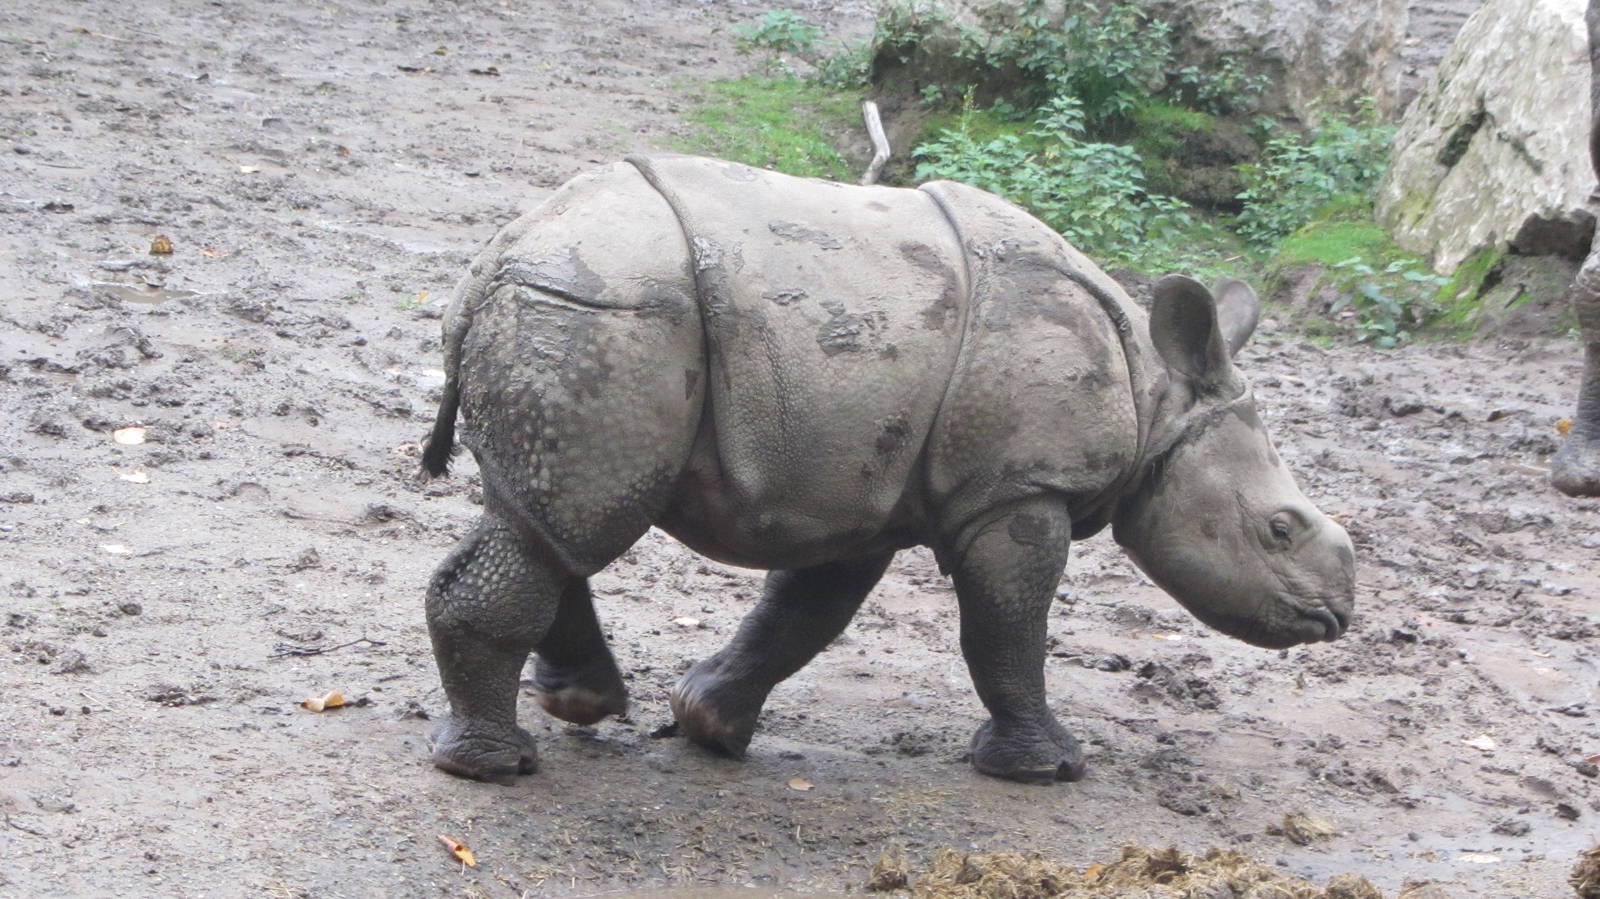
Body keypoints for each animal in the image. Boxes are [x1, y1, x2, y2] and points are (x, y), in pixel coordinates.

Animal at [418, 154, 1356, 784]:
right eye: (1279, 528)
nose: (1337, 615)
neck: (1159, 400)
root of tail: (496, 255)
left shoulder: (857, 488)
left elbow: (804, 612)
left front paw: (711, 726)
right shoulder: (1019, 488)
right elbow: (1009, 626)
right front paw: (1049, 768)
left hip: (580, 316)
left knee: (549, 520)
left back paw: (579, 706)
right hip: (603, 314)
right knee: (564, 524)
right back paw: (496, 766)